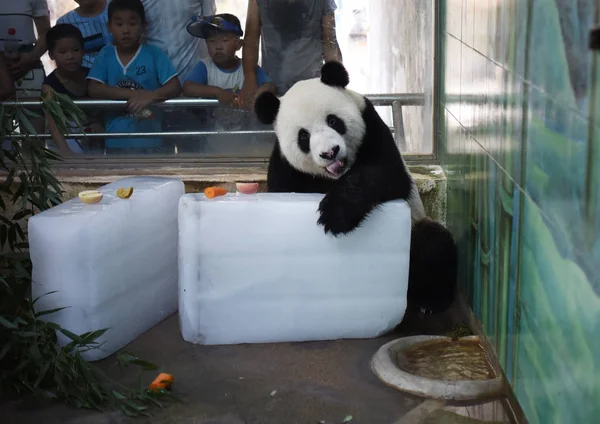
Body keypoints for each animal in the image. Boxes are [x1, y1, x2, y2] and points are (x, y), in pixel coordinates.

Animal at [252, 61, 454, 316]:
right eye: (303, 136)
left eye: (333, 121)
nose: (330, 152)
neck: (336, 175)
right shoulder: (285, 165)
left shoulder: (372, 126)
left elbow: (386, 173)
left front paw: (335, 215)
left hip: (414, 229)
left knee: (434, 245)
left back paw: (431, 301)